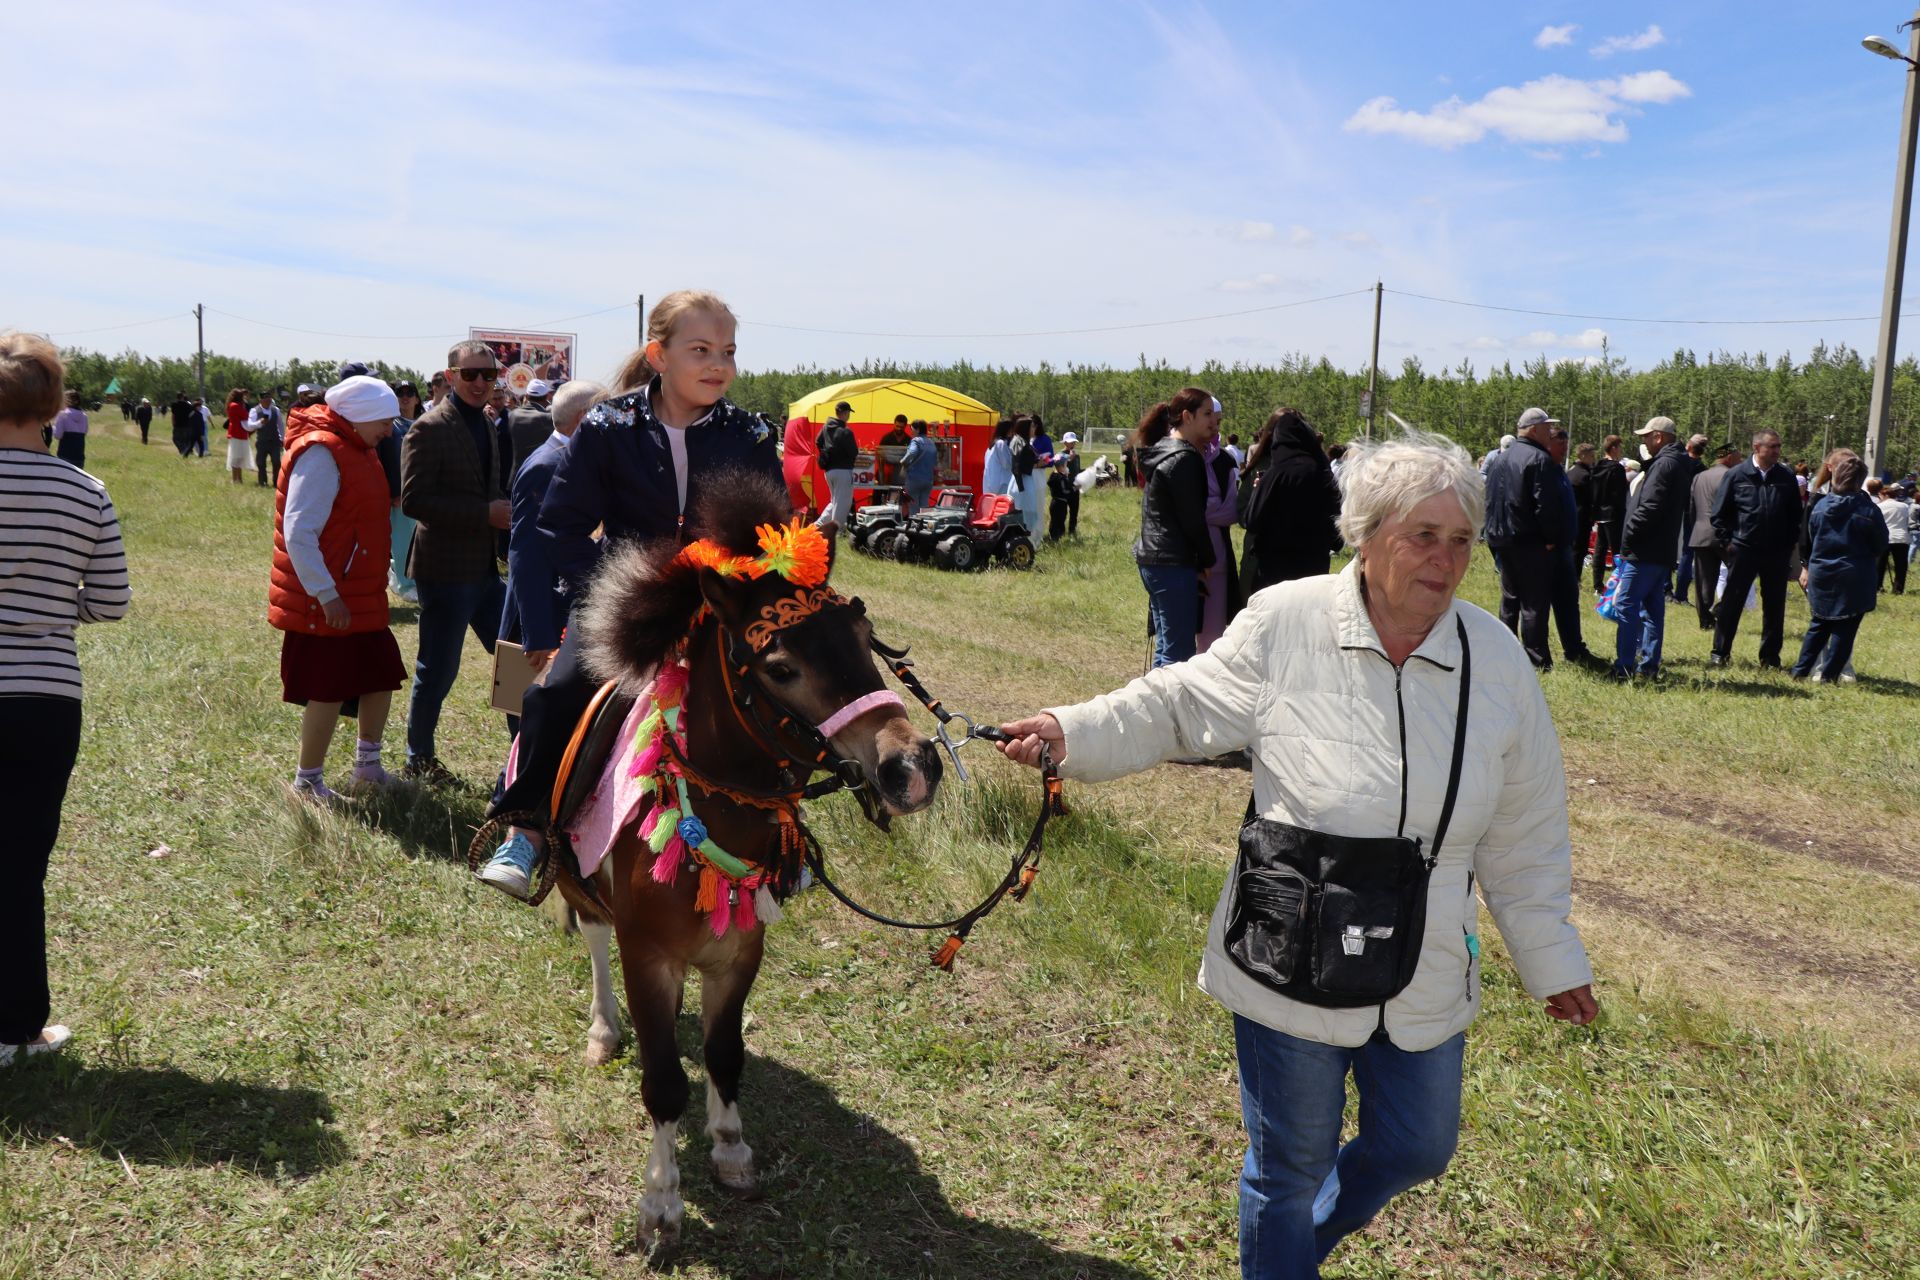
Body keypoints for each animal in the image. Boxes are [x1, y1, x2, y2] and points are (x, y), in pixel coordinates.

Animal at [560, 470, 940, 1251]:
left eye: (864, 638)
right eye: (782, 667)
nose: (911, 766)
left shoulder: (740, 950)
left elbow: (723, 1053)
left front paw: (731, 1150)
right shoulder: (649, 955)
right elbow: (663, 1082)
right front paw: (661, 1203)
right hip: (584, 891)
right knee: (593, 939)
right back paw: (605, 1029)